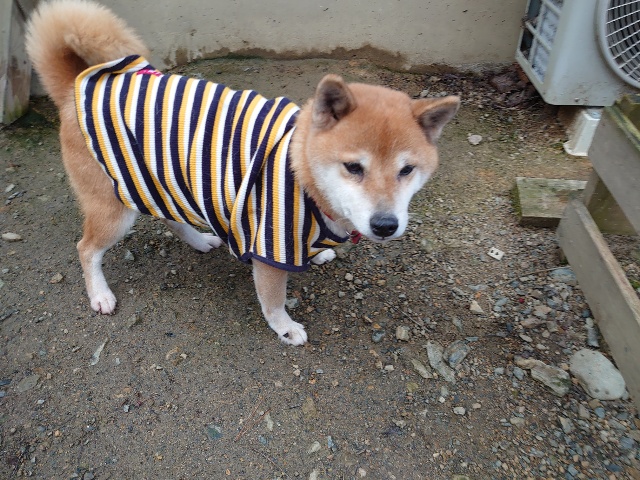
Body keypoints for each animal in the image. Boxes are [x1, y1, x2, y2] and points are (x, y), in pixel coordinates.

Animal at [26, 0, 459, 345]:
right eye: (354, 168)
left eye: (407, 170)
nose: (386, 225)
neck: (303, 172)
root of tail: (76, 88)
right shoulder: (271, 244)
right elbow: (273, 301)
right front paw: (285, 328)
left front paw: (319, 253)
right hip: (115, 211)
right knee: (86, 249)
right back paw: (99, 294)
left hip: (160, 180)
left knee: (169, 218)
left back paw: (200, 240)